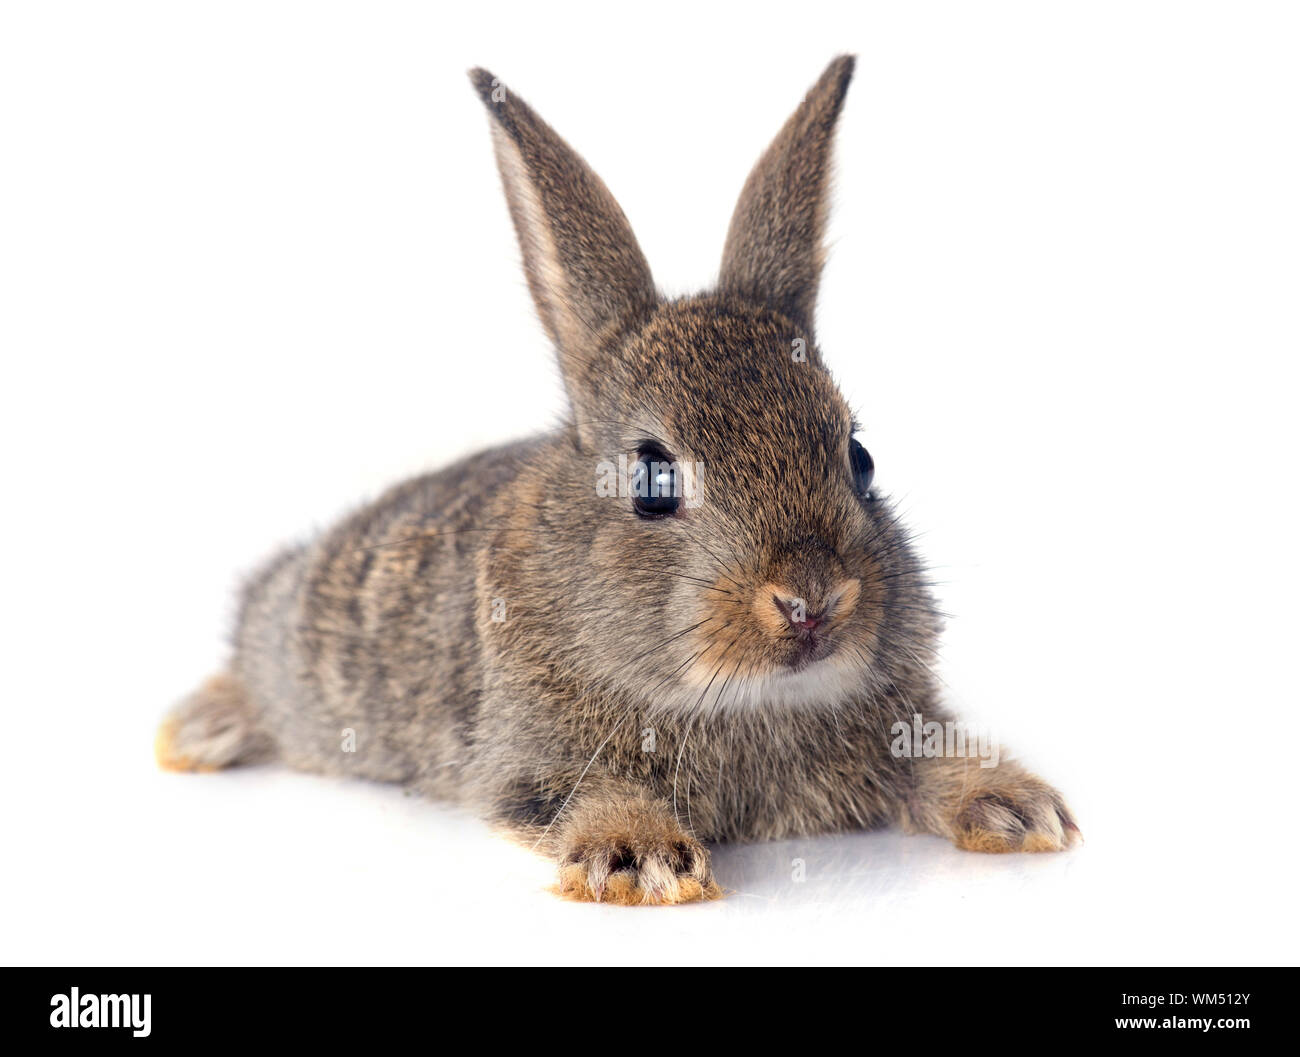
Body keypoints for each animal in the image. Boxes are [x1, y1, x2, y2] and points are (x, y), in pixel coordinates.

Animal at [156, 55, 1079, 905]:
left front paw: (1017, 807)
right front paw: (642, 858)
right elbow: (585, 795)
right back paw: (197, 731)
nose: (813, 599)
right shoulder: (529, 757)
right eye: (654, 480)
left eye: (859, 458)